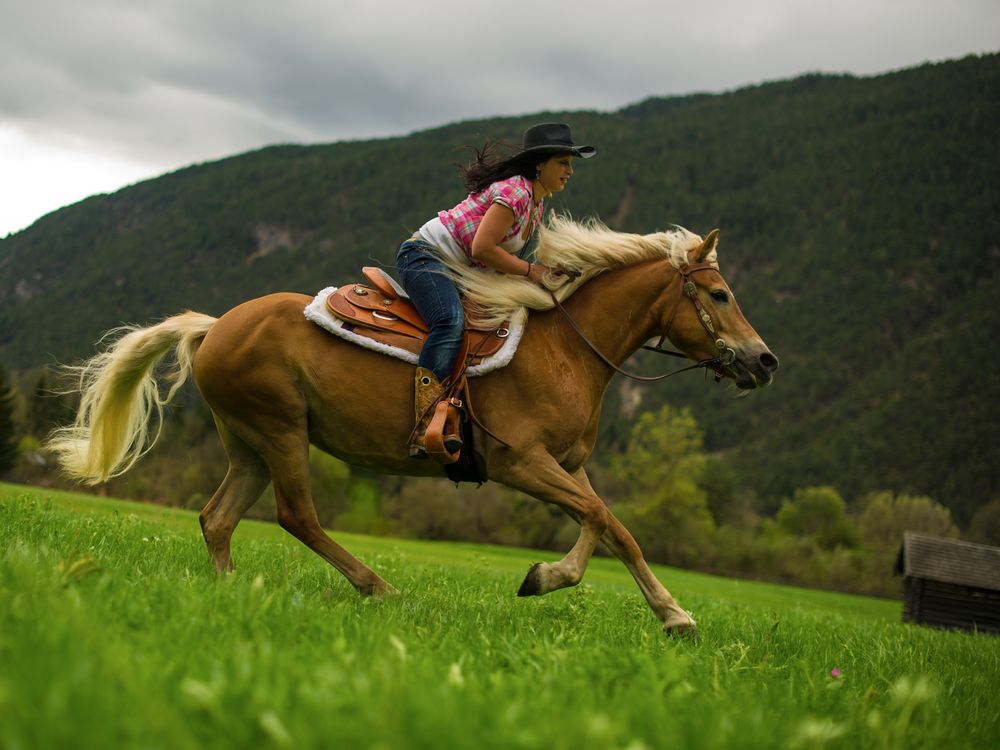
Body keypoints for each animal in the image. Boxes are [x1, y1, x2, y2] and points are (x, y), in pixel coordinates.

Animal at [48, 217, 780, 636]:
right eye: (720, 295)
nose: (764, 360)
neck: (566, 348)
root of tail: (215, 325)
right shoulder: (521, 464)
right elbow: (599, 520)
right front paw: (543, 578)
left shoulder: (568, 467)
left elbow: (618, 528)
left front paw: (674, 614)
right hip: (280, 429)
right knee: (296, 516)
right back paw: (378, 587)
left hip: (247, 443)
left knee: (218, 518)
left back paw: (232, 594)